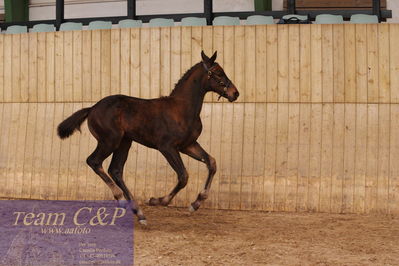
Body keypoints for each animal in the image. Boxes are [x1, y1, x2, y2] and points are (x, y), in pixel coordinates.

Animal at [57, 50, 239, 224]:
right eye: (218, 73)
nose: (235, 93)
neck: (182, 109)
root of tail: (92, 108)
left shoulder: (188, 145)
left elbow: (211, 163)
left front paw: (196, 203)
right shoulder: (167, 147)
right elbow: (183, 176)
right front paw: (157, 200)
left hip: (124, 142)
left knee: (115, 170)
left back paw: (138, 212)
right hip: (110, 141)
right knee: (94, 161)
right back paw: (123, 201)